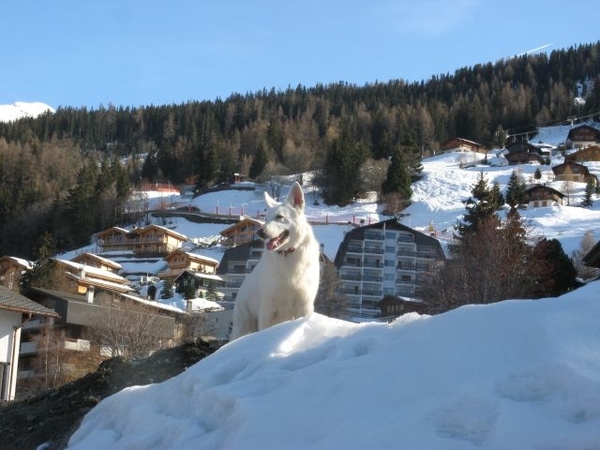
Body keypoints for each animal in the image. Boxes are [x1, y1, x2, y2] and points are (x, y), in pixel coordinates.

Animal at [230, 181, 322, 340]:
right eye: (265, 219)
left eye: (279, 217)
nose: (260, 232)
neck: (287, 255)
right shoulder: (267, 311)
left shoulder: (304, 306)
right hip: (243, 325)